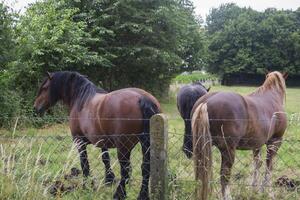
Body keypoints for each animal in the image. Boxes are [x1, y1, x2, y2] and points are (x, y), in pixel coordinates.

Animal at [33, 71, 162, 199]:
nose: (36, 108)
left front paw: (85, 186)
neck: (81, 100)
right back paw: (142, 195)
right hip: (145, 144)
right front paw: (109, 180)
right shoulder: (102, 141)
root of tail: (143, 98)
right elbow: (105, 159)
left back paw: (119, 194)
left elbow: (84, 164)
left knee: (125, 170)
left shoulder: (79, 141)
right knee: (145, 168)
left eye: (44, 88)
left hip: (124, 147)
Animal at [191, 72, 288, 200]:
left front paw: (255, 189)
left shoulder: (257, 145)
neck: (272, 97)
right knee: (225, 176)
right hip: (228, 151)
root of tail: (206, 102)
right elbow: (269, 167)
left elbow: (258, 163)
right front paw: (268, 192)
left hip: (201, 147)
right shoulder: (275, 142)